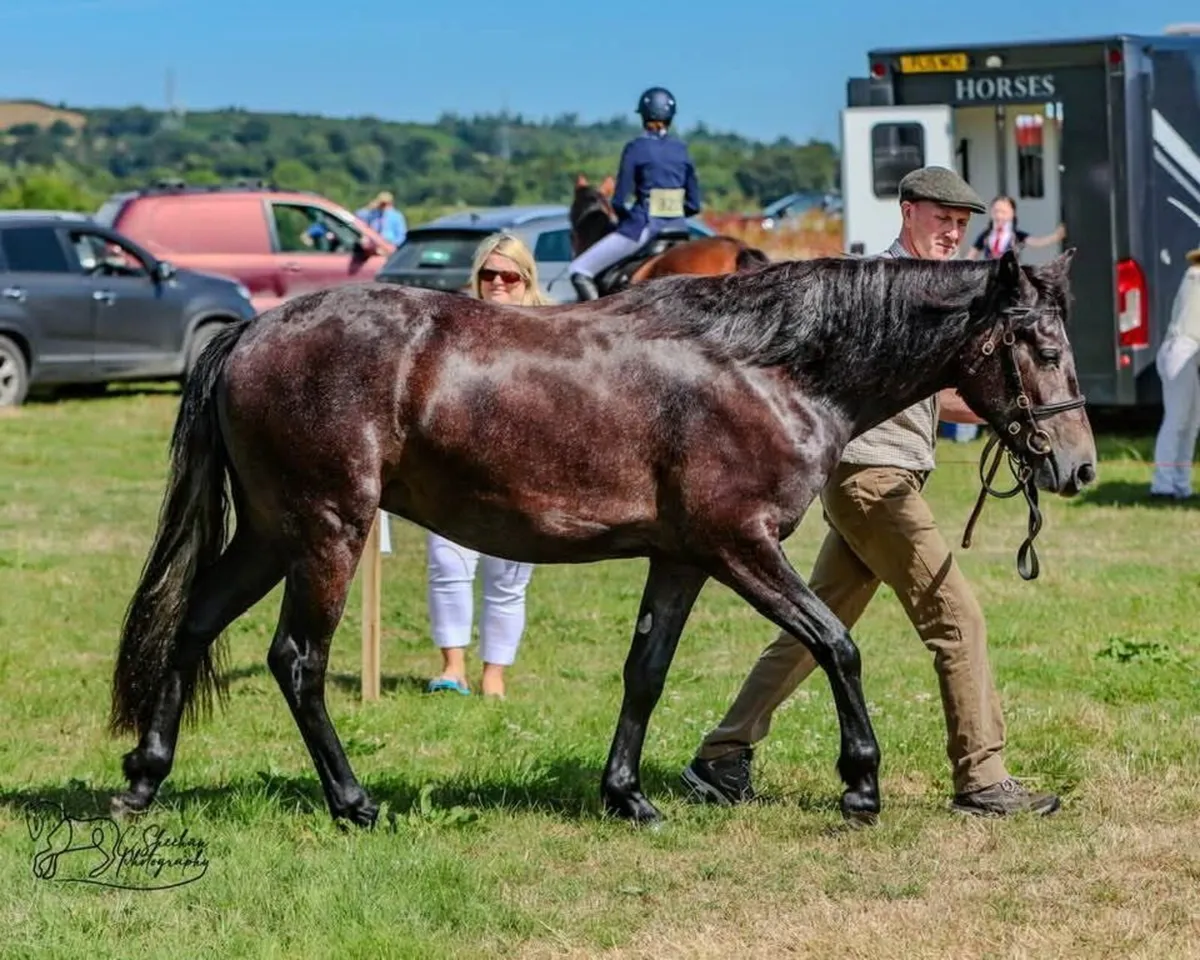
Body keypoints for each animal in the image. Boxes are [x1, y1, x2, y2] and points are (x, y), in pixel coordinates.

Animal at [107, 247, 1095, 830]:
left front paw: (628, 795)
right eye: (1042, 348)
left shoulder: (683, 559)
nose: (1078, 465)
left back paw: (144, 780)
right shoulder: (741, 547)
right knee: (297, 660)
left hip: (271, 535)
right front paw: (861, 784)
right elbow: (836, 644)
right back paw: (354, 803)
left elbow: (646, 671)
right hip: (327, 533)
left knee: (191, 627)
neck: (768, 367)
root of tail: (251, 331)